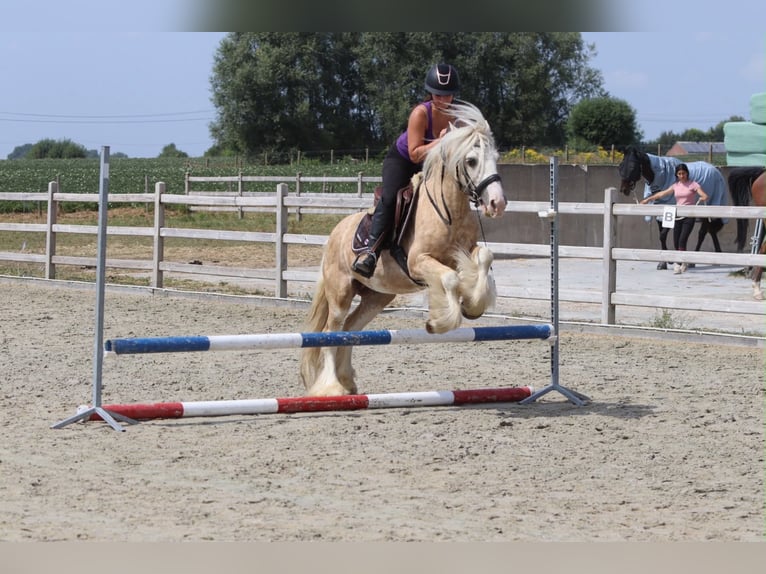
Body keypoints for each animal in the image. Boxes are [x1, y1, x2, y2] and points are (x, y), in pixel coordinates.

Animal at [300, 101, 507, 397]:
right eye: (471, 161)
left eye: (496, 157)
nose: (497, 203)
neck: (449, 209)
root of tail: (333, 235)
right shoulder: (418, 262)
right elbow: (450, 279)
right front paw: (438, 323)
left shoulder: (465, 251)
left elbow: (485, 257)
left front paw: (473, 306)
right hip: (340, 292)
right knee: (333, 331)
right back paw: (332, 388)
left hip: (377, 297)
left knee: (351, 329)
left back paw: (347, 381)